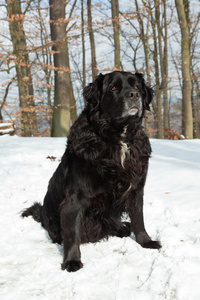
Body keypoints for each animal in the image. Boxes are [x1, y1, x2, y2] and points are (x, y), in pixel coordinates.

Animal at [22, 71, 161, 272]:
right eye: (113, 88)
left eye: (136, 87)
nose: (134, 95)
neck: (118, 139)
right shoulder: (74, 199)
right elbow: (72, 233)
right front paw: (72, 261)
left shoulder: (136, 189)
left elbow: (138, 218)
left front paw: (145, 241)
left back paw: (122, 228)